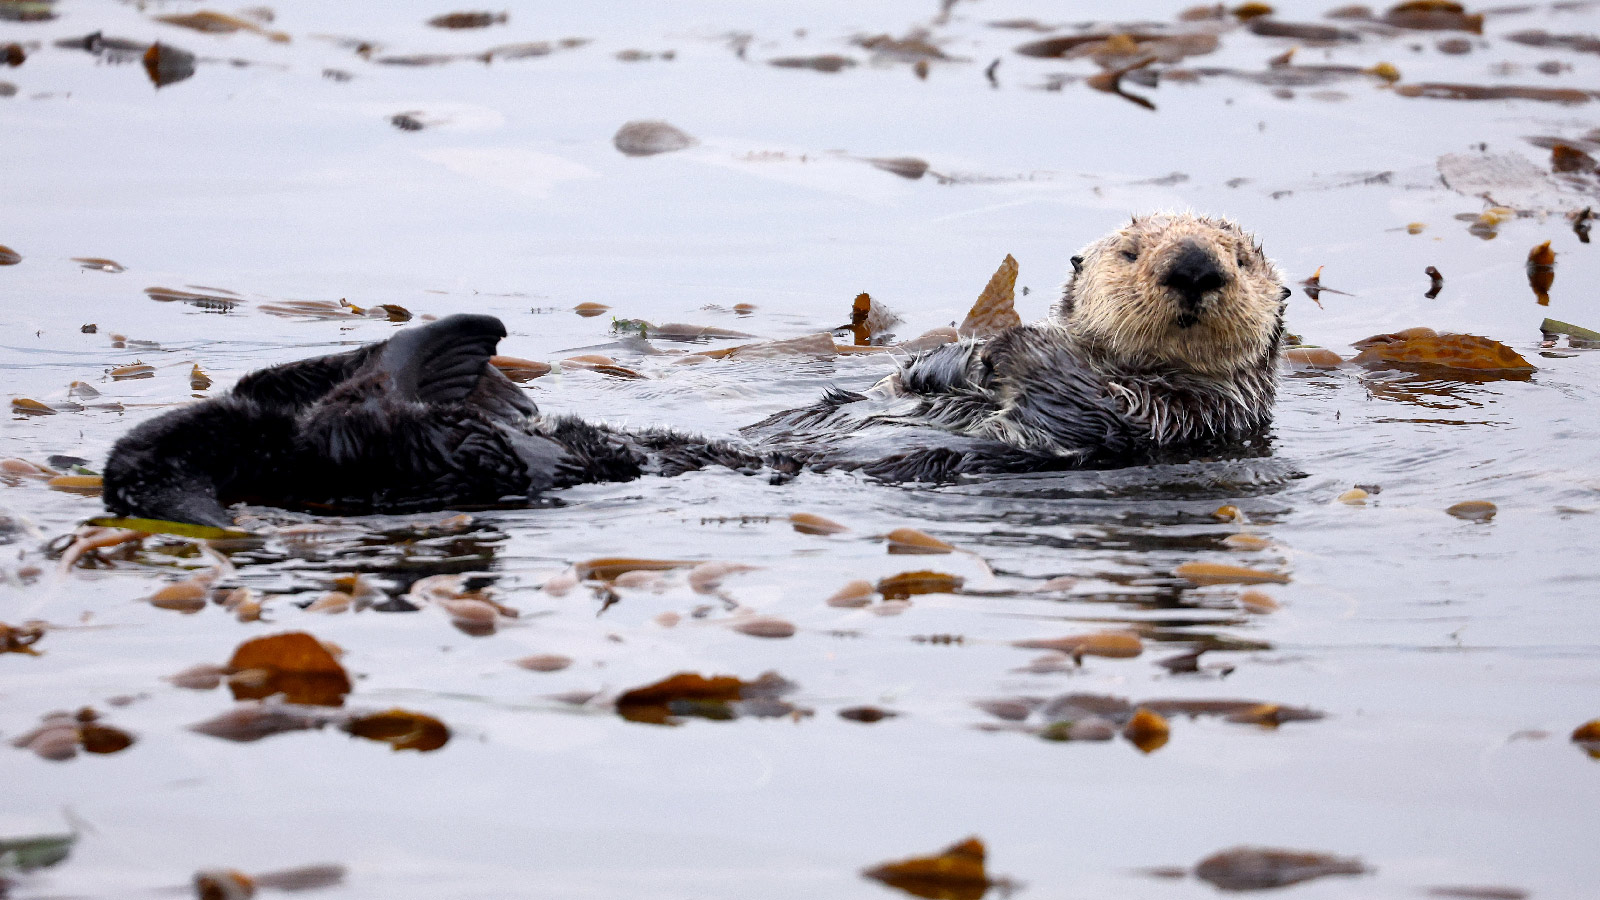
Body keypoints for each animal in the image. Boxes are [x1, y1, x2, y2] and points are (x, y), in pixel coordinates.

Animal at [102, 213, 1287, 527]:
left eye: (1240, 254)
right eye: (1131, 250)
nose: (1191, 265)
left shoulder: (1180, 419)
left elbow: (1068, 394)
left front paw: (989, 350)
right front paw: (938, 357)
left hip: (451, 452)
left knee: (379, 419)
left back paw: (448, 343)